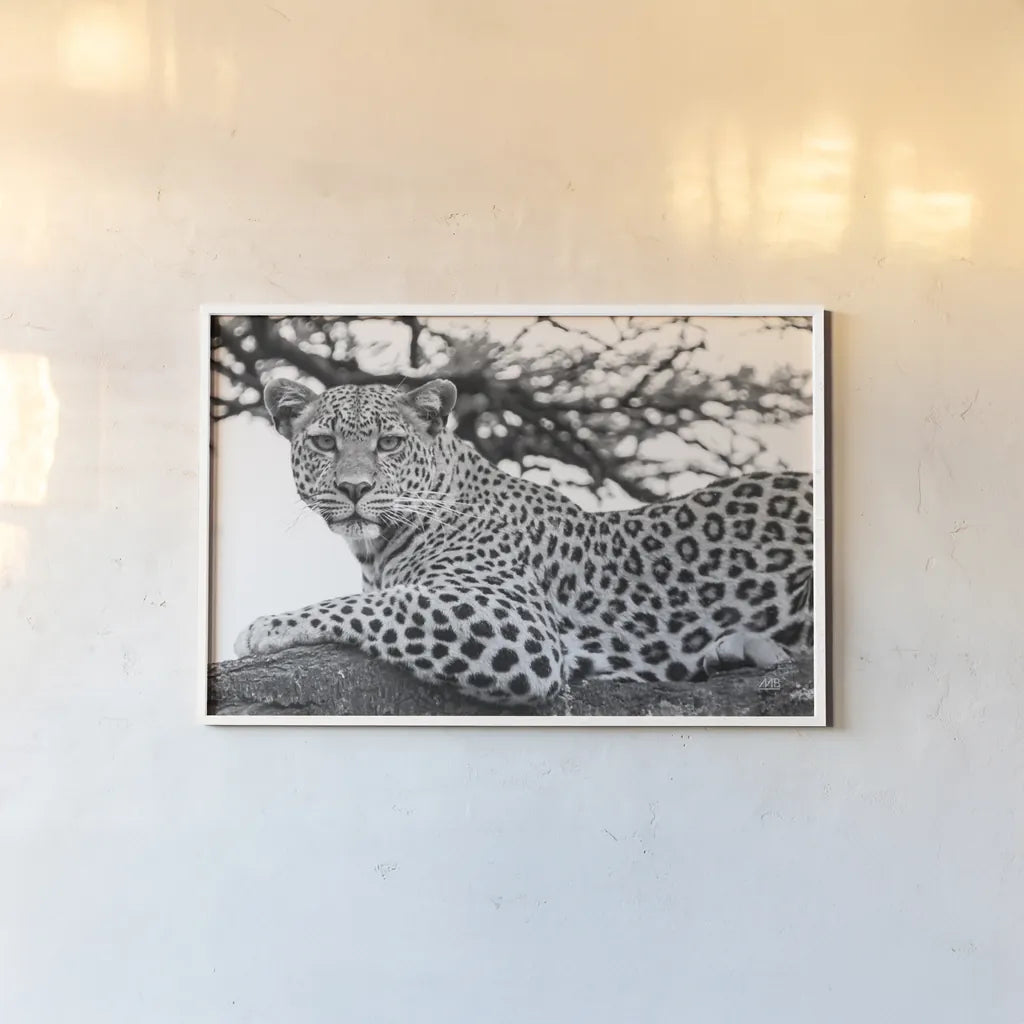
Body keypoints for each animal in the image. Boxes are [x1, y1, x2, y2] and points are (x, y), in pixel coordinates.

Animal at [234, 377, 815, 708]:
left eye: (390, 443)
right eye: (324, 442)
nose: (354, 489)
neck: (377, 550)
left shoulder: (516, 620)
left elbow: (376, 604)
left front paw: (267, 627)